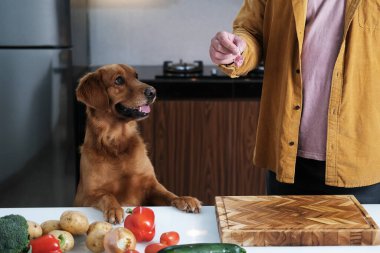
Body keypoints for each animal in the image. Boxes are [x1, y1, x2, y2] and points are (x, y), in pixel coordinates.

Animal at [72, 63, 200, 223]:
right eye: (119, 80)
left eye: (136, 76)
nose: (153, 91)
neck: (117, 143)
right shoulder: (88, 195)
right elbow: (107, 195)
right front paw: (114, 209)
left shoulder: (150, 185)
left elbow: (167, 193)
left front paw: (184, 199)